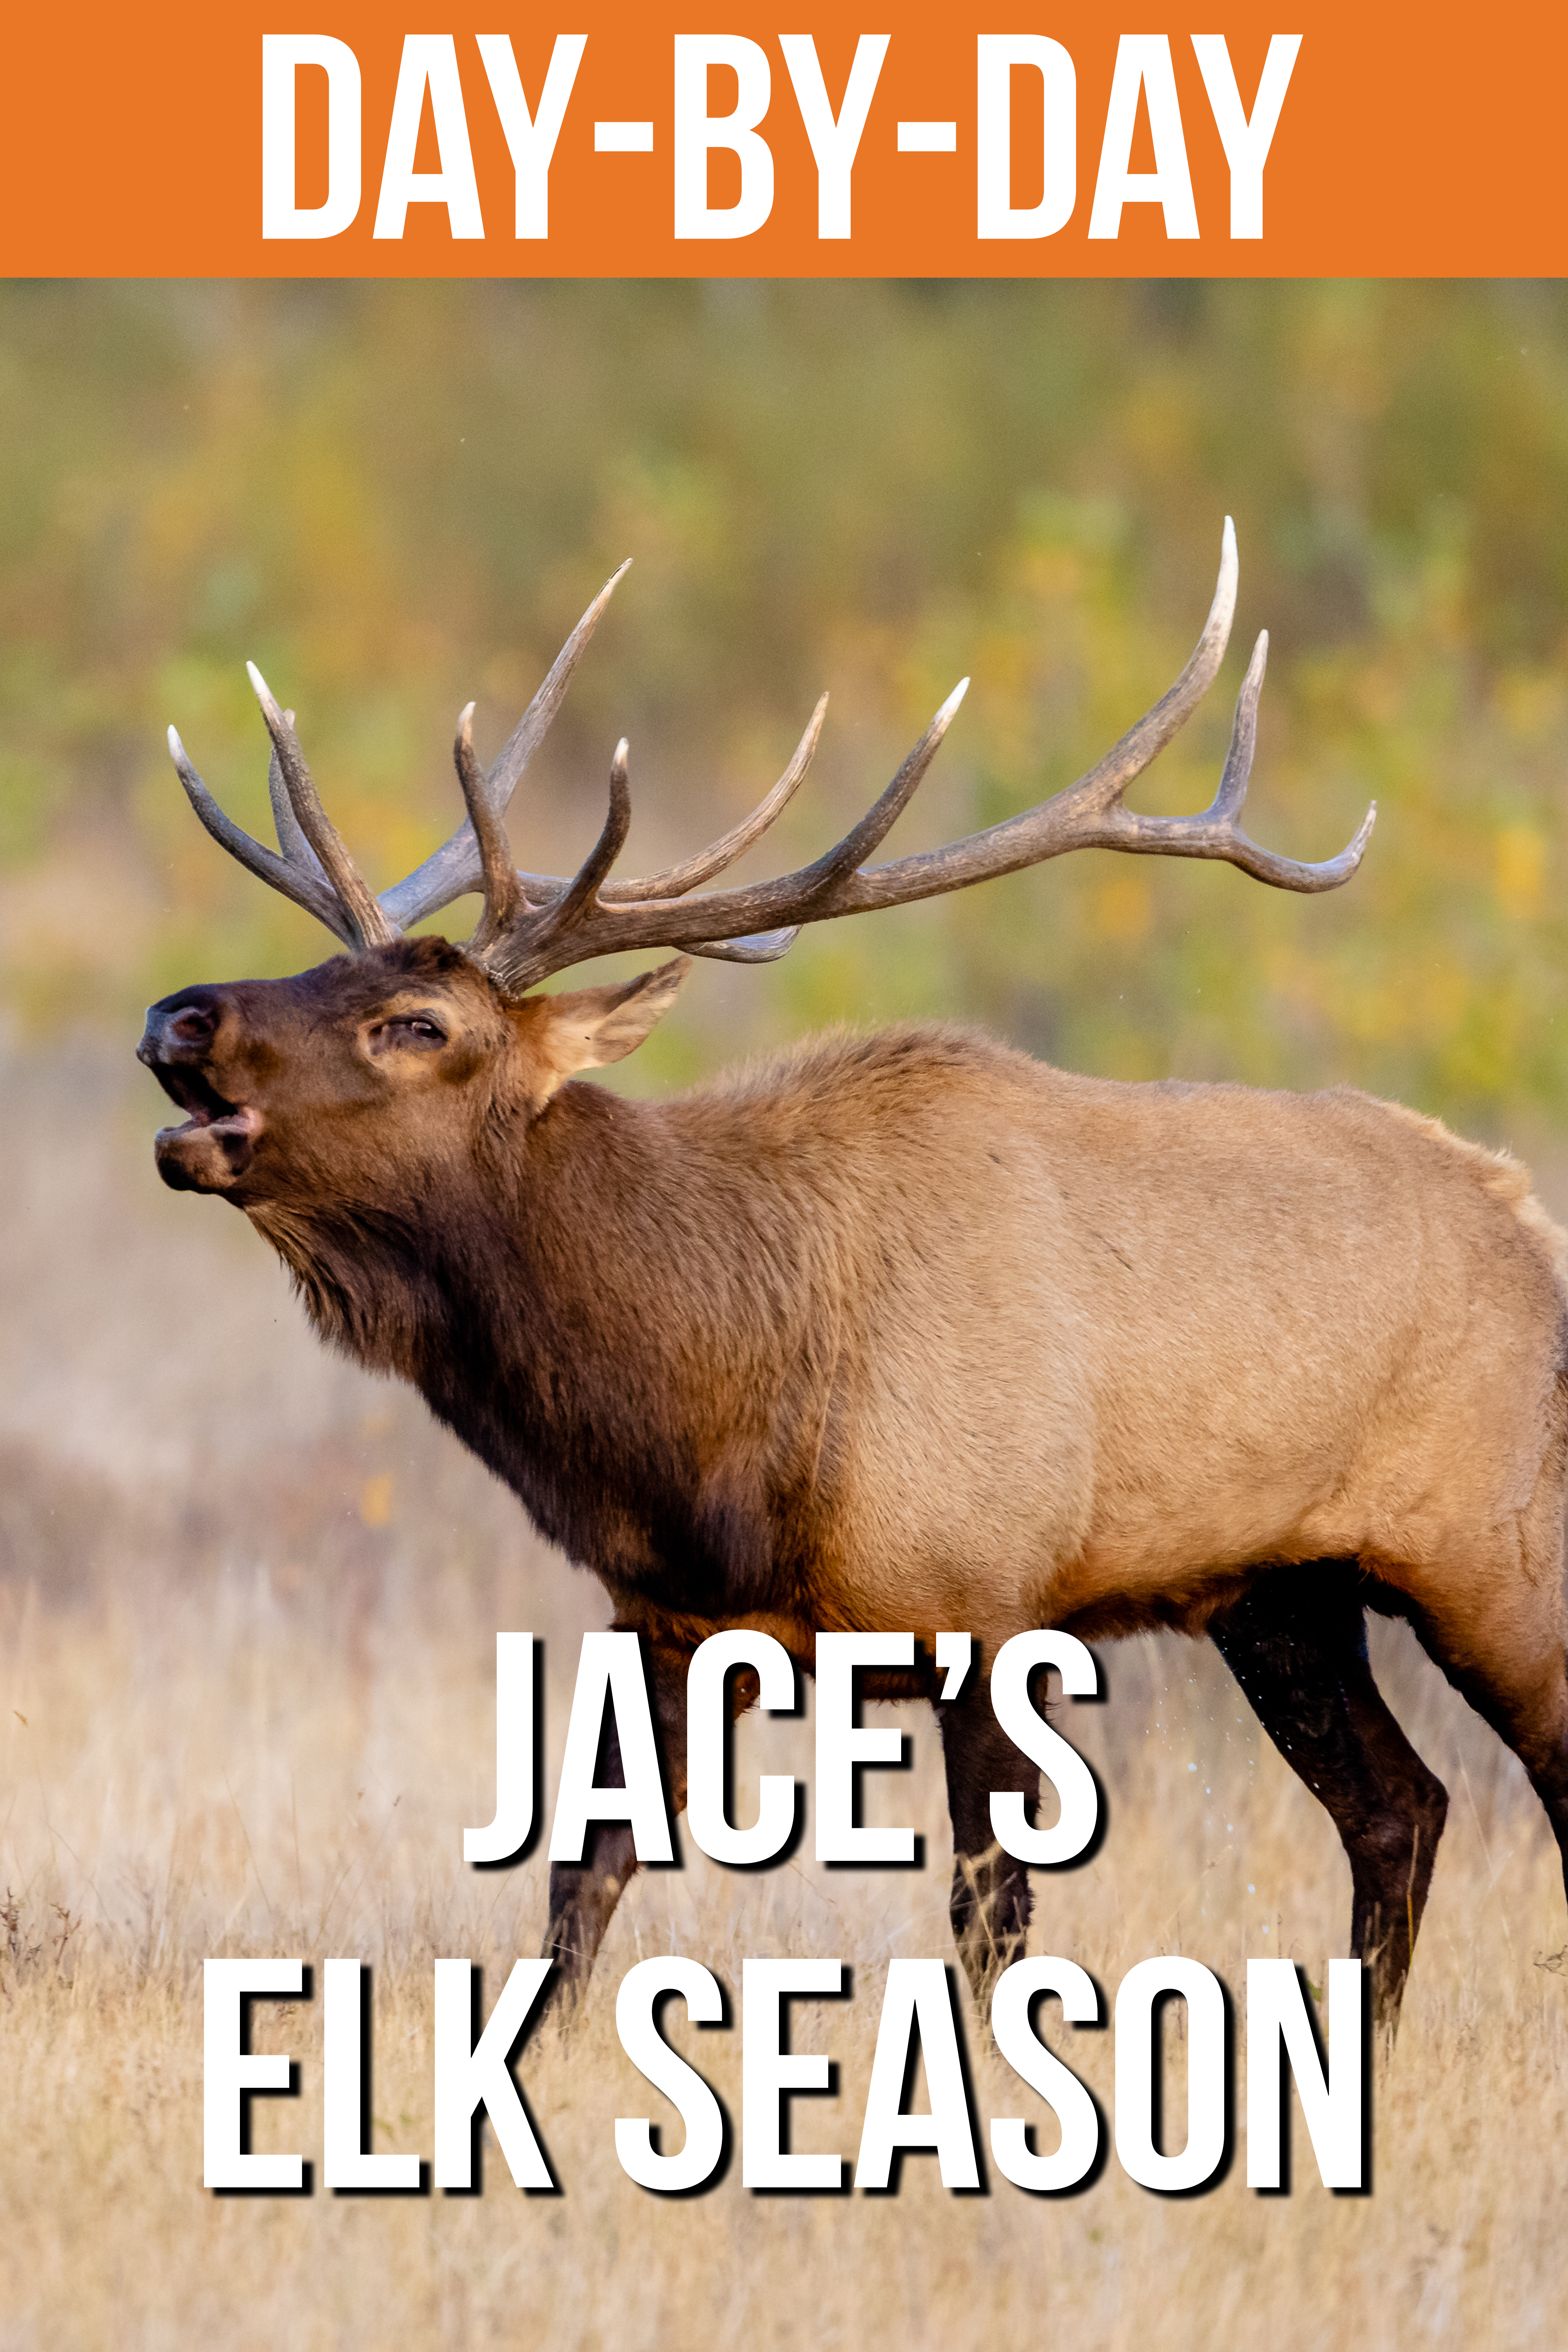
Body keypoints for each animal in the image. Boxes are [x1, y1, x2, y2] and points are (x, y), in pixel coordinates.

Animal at [137, 524, 1568, 2037]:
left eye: (420, 1023)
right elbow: (586, 1878)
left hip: (1495, 1554)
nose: (182, 1014)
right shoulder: (667, 1612)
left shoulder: (983, 1600)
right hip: (1279, 1589)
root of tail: (1531, 1223)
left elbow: (990, 1914)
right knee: (1400, 1806)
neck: (707, 1408)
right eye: (324, 963)